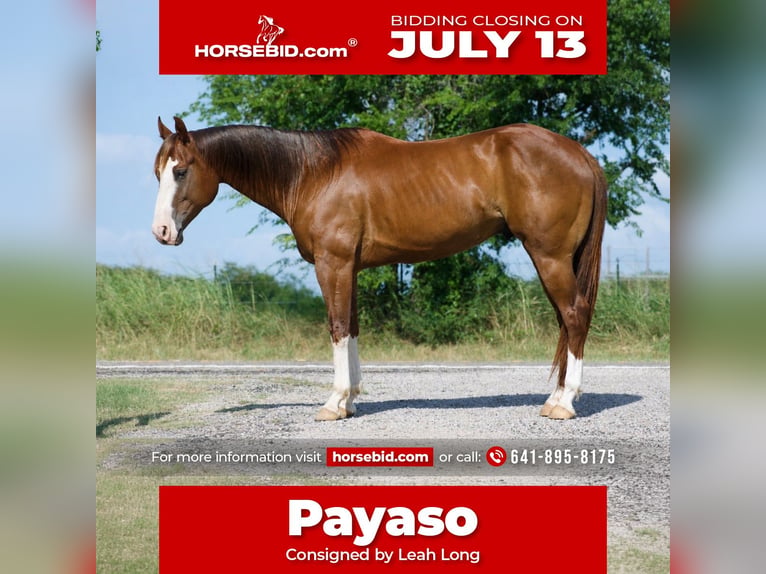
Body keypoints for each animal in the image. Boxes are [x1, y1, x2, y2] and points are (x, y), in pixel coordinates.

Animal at [152, 116, 607, 421]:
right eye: (158, 172)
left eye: (181, 170)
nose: (161, 231)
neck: (314, 172)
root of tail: (579, 153)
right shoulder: (349, 268)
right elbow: (351, 328)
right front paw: (351, 399)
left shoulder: (332, 264)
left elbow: (336, 327)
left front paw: (333, 404)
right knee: (566, 322)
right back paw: (555, 398)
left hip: (549, 256)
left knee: (574, 316)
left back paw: (565, 404)